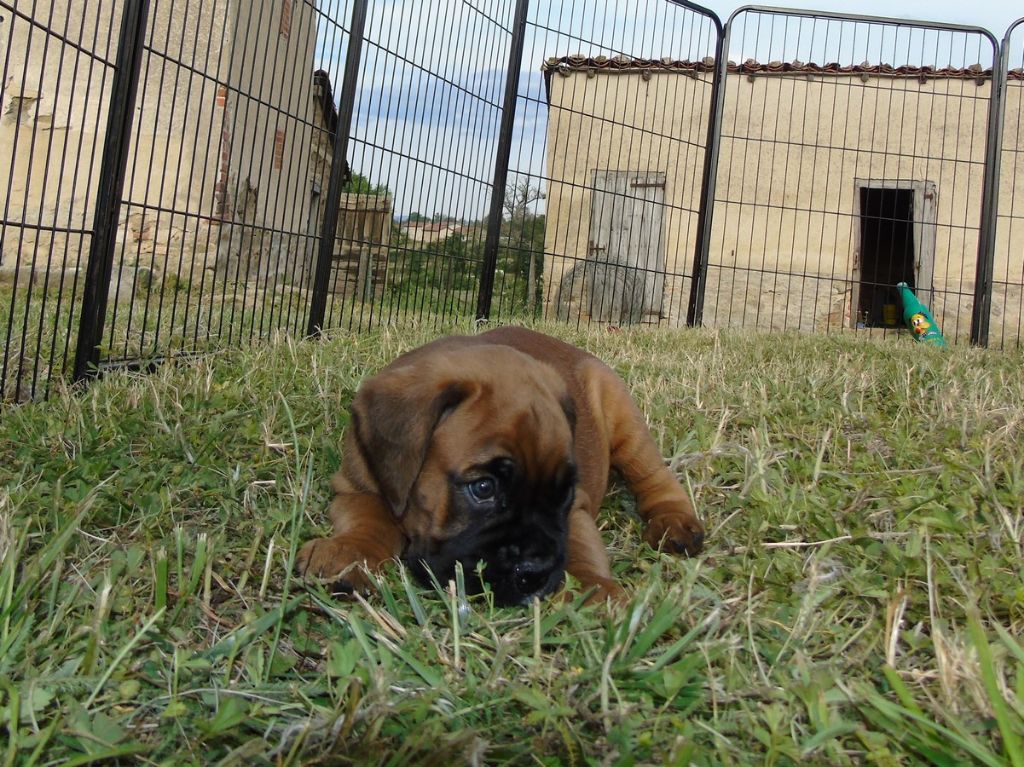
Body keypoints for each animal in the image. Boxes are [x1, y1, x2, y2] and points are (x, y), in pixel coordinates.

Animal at [299, 325, 704, 602]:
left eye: (564, 493)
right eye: (483, 488)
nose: (536, 573)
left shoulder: (576, 509)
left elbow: (581, 544)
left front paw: (593, 589)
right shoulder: (356, 487)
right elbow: (370, 520)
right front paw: (350, 553)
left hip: (623, 418)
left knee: (655, 476)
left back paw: (674, 523)